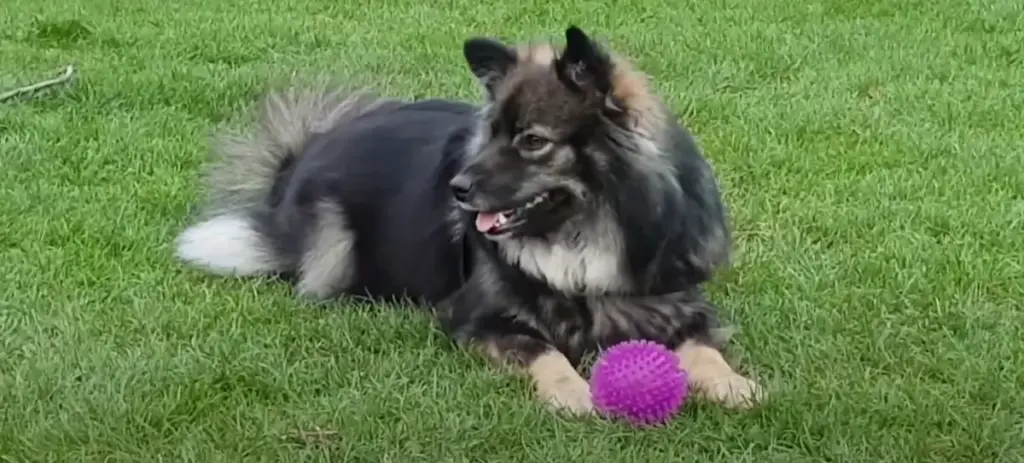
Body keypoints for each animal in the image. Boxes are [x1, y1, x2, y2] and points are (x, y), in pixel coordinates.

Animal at [180, 26, 765, 415]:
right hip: (333, 246)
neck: (581, 233)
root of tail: (301, 156)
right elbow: (543, 349)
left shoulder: (680, 300)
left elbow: (702, 350)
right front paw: (572, 391)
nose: (457, 190)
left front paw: (735, 385)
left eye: (532, 141)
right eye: (494, 134)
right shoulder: (479, 318)